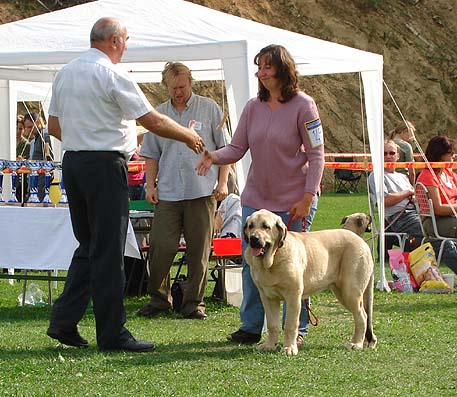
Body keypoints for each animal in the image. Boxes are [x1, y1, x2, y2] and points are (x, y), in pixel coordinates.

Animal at [244, 209, 376, 354]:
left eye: (266, 226)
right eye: (250, 226)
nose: (253, 239)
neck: (273, 259)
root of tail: (361, 241)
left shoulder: (293, 297)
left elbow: (290, 324)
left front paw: (289, 348)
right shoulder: (268, 298)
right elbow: (272, 324)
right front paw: (269, 345)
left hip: (350, 292)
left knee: (362, 316)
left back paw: (356, 343)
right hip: (342, 293)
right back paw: (365, 342)